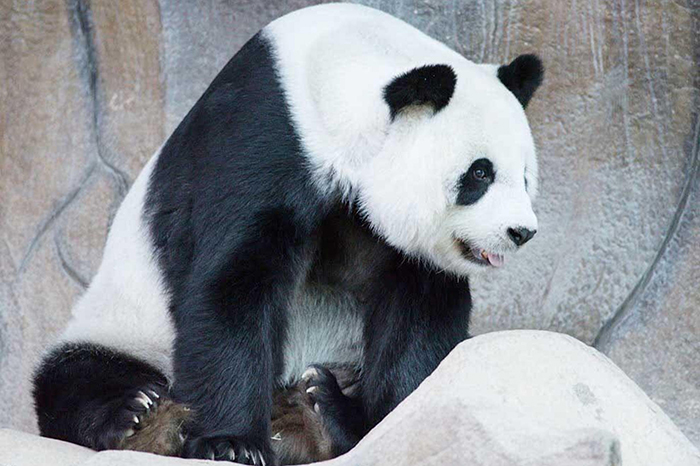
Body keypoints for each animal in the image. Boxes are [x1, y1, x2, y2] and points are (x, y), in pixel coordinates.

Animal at [32, 3, 543, 465]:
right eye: (480, 173)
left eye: (524, 177)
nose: (520, 232)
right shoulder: (261, 138)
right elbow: (233, 282)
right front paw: (231, 442)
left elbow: (418, 312)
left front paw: (373, 420)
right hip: (123, 327)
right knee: (74, 376)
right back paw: (136, 415)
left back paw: (321, 407)